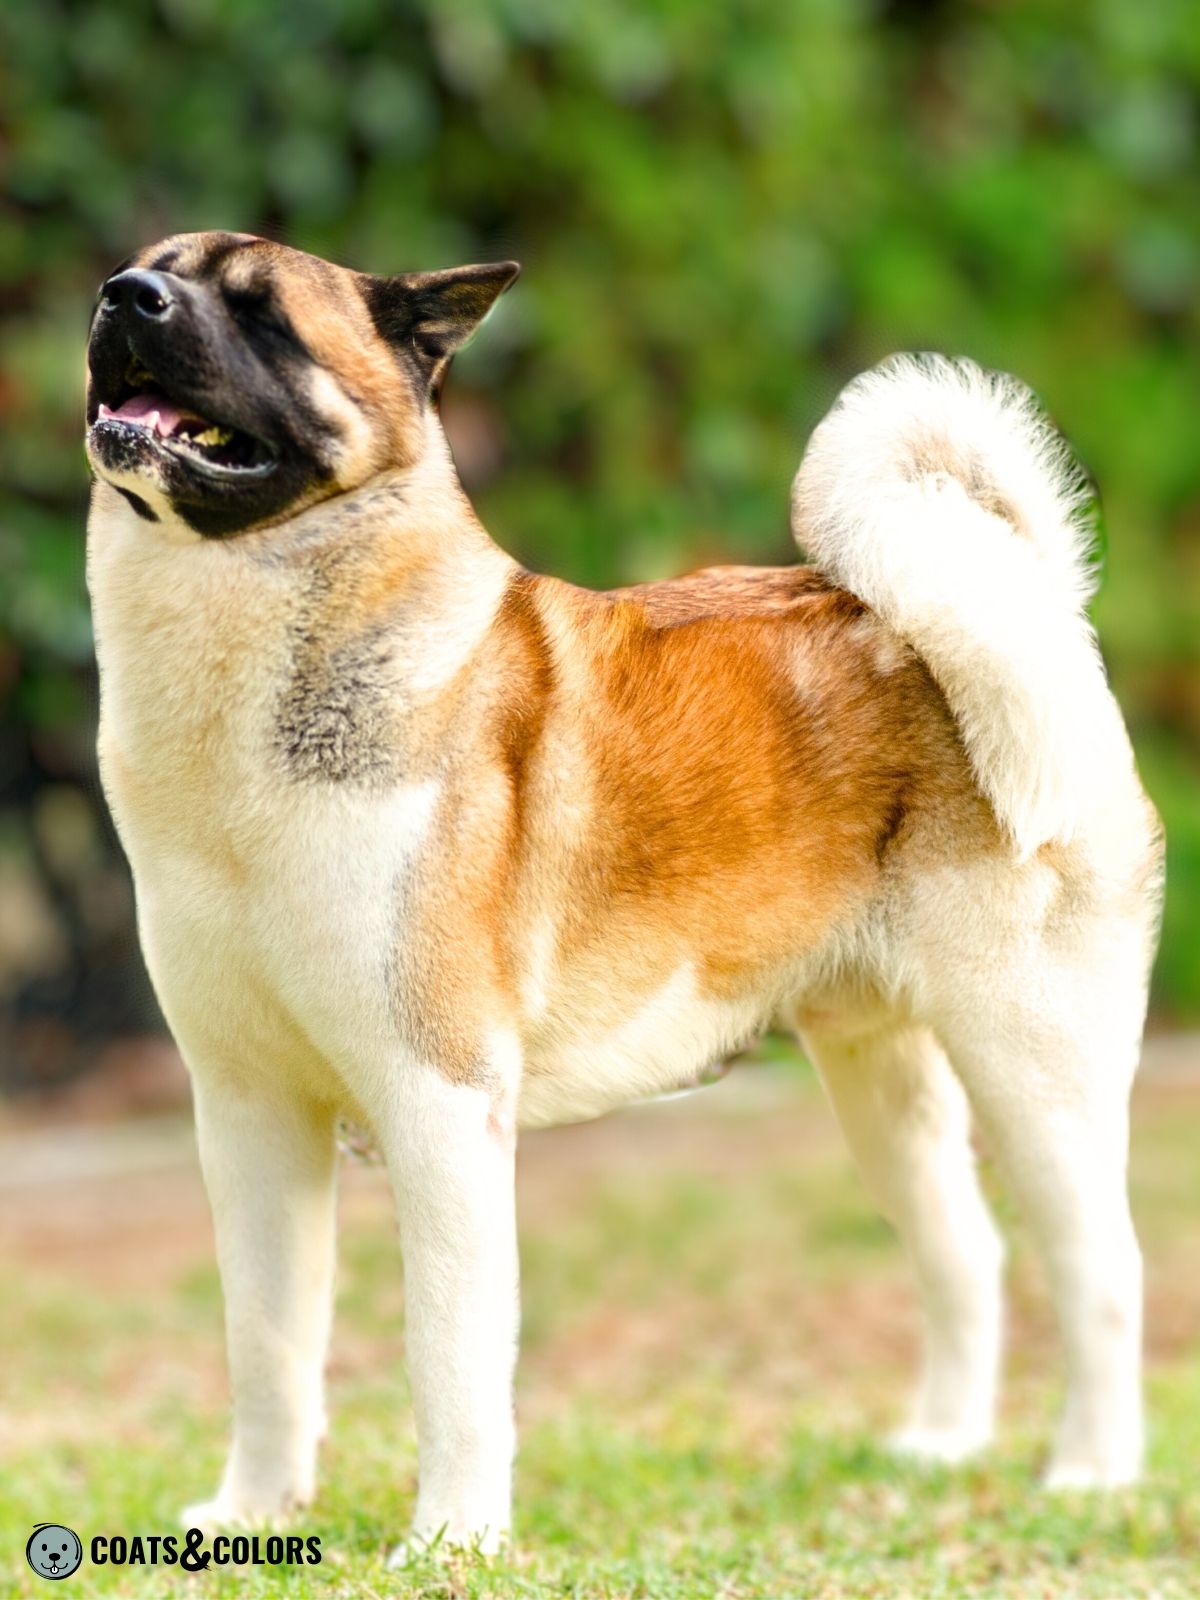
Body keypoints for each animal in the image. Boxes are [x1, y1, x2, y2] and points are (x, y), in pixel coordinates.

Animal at [84, 232, 1164, 1555]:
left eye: (263, 315)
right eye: (145, 270)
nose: (123, 300)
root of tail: (1033, 608)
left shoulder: (440, 1103)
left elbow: (449, 1355)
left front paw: (452, 1545)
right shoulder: (246, 1114)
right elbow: (268, 1344)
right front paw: (251, 1517)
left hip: (1035, 1069)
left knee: (1102, 1267)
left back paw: (1093, 1475)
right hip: (883, 1080)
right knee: (966, 1253)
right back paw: (940, 1450)